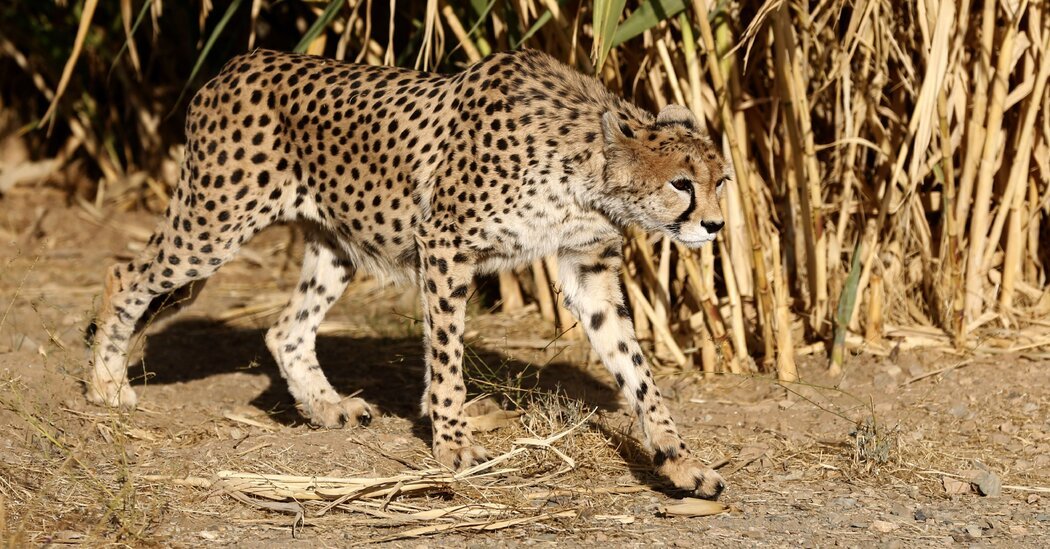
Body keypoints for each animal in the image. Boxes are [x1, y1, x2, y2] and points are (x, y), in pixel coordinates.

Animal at [86, 48, 729, 498]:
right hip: (214, 223)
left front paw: (680, 461)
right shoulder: (444, 245)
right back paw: (106, 384)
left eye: (720, 180)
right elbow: (446, 357)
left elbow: (637, 371)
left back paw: (327, 407)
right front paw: (453, 444)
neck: (586, 170)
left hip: (337, 243)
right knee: (125, 275)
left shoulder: (588, 267)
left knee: (285, 329)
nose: (717, 226)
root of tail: (235, 65)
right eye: (682, 183)